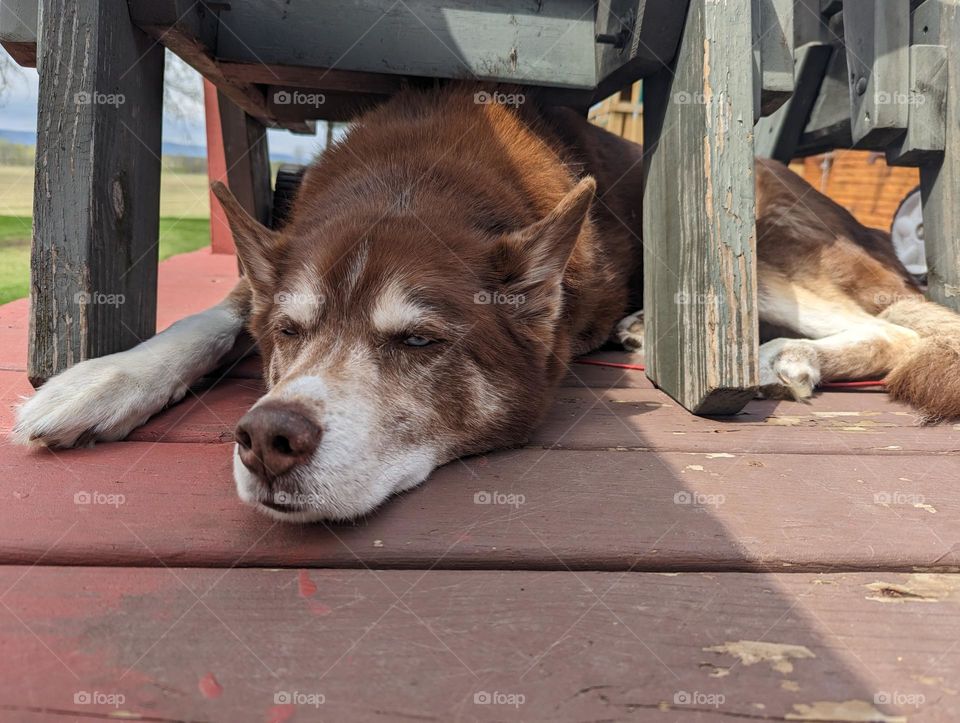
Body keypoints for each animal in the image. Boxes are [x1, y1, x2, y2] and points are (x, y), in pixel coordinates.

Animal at [13, 87, 960, 524]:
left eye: (420, 341)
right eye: (289, 331)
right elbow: (212, 312)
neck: (413, 177)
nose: (267, 437)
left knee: (890, 328)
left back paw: (782, 356)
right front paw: (95, 382)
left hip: (745, 244)